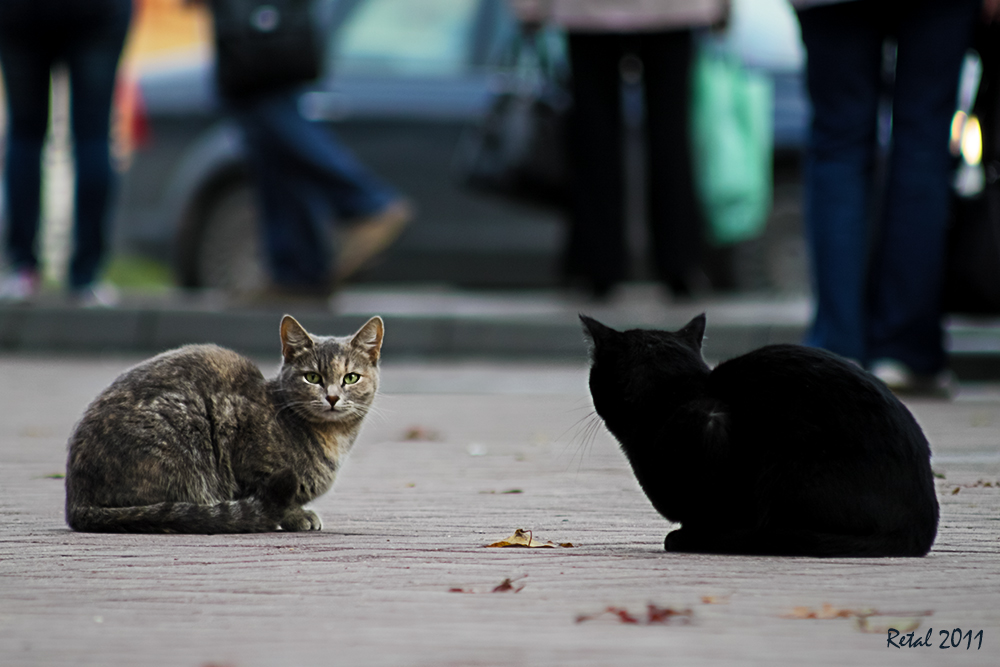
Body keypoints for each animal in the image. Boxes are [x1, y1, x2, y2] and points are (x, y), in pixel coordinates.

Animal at [63, 316, 382, 536]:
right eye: (312, 377)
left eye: (351, 378)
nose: (332, 397)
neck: (333, 439)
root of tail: (76, 500)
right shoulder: (250, 460)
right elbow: (274, 494)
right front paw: (295, 515)